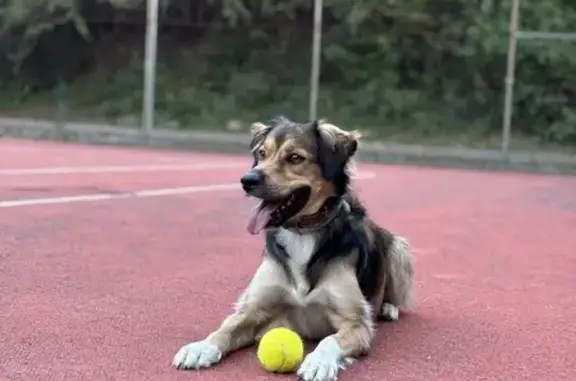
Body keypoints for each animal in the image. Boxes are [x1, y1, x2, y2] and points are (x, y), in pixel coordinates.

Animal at [171, 116, 414, 380]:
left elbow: (329, 340)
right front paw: (201, 348)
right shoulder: (254, 309)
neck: (302, 234)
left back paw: (389, 308)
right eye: (262, 153)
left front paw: (319, 361)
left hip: (399, 247)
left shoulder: (356, 323)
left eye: (295, 158)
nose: (247, 180)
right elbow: (226, 328)